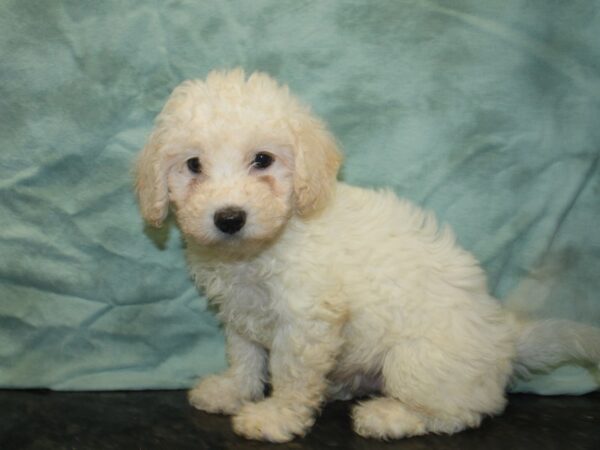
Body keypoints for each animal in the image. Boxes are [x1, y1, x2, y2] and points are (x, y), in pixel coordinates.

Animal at [136, 68, 600, 442]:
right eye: (193, 165)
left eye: (263, 160)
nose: (229, 217)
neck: (265, 245)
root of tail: (504, 338)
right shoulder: (241, 311)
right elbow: (246, 355)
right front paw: (233, 390)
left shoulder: (307, 320)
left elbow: (290, 374)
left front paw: (276, 417)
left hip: (418, 360)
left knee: (460, 412)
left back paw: (389, 417)